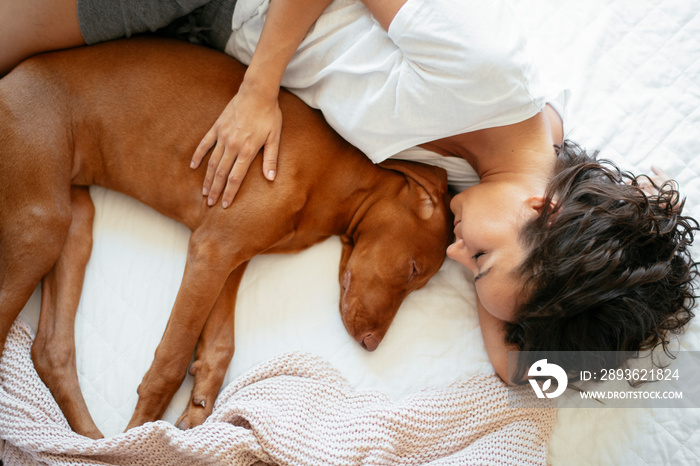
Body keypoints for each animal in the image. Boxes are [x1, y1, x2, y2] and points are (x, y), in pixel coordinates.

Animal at [0, 38, 452, 438]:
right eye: (413, 270)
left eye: (419, 284)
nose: (372, 345)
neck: (331, 180)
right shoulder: (212, 249)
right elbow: (171, 358)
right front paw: (140, 436)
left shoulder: (232, 258)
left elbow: (220, 346)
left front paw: (200, 408)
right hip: (42, 227)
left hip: (74, 222)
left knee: (49, 350)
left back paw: (90, 441)